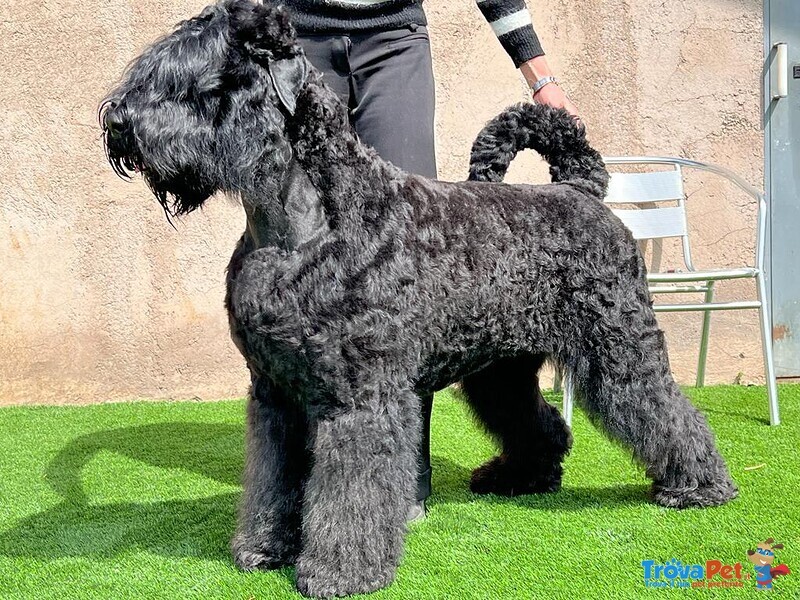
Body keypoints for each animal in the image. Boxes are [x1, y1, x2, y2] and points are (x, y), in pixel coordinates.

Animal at [100, 2, 736, 596]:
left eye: (196, 78)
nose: (117, 121)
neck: (305, 225)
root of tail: (579, 189)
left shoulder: (360, 398)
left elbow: (350, 492)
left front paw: (340, 571)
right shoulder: (274, 394)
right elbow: (271, 479)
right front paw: (264, 548)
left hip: (618, 348)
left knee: (664, 410)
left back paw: (698, 486)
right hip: (499, 367)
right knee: (537, 421)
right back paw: (520, 477)